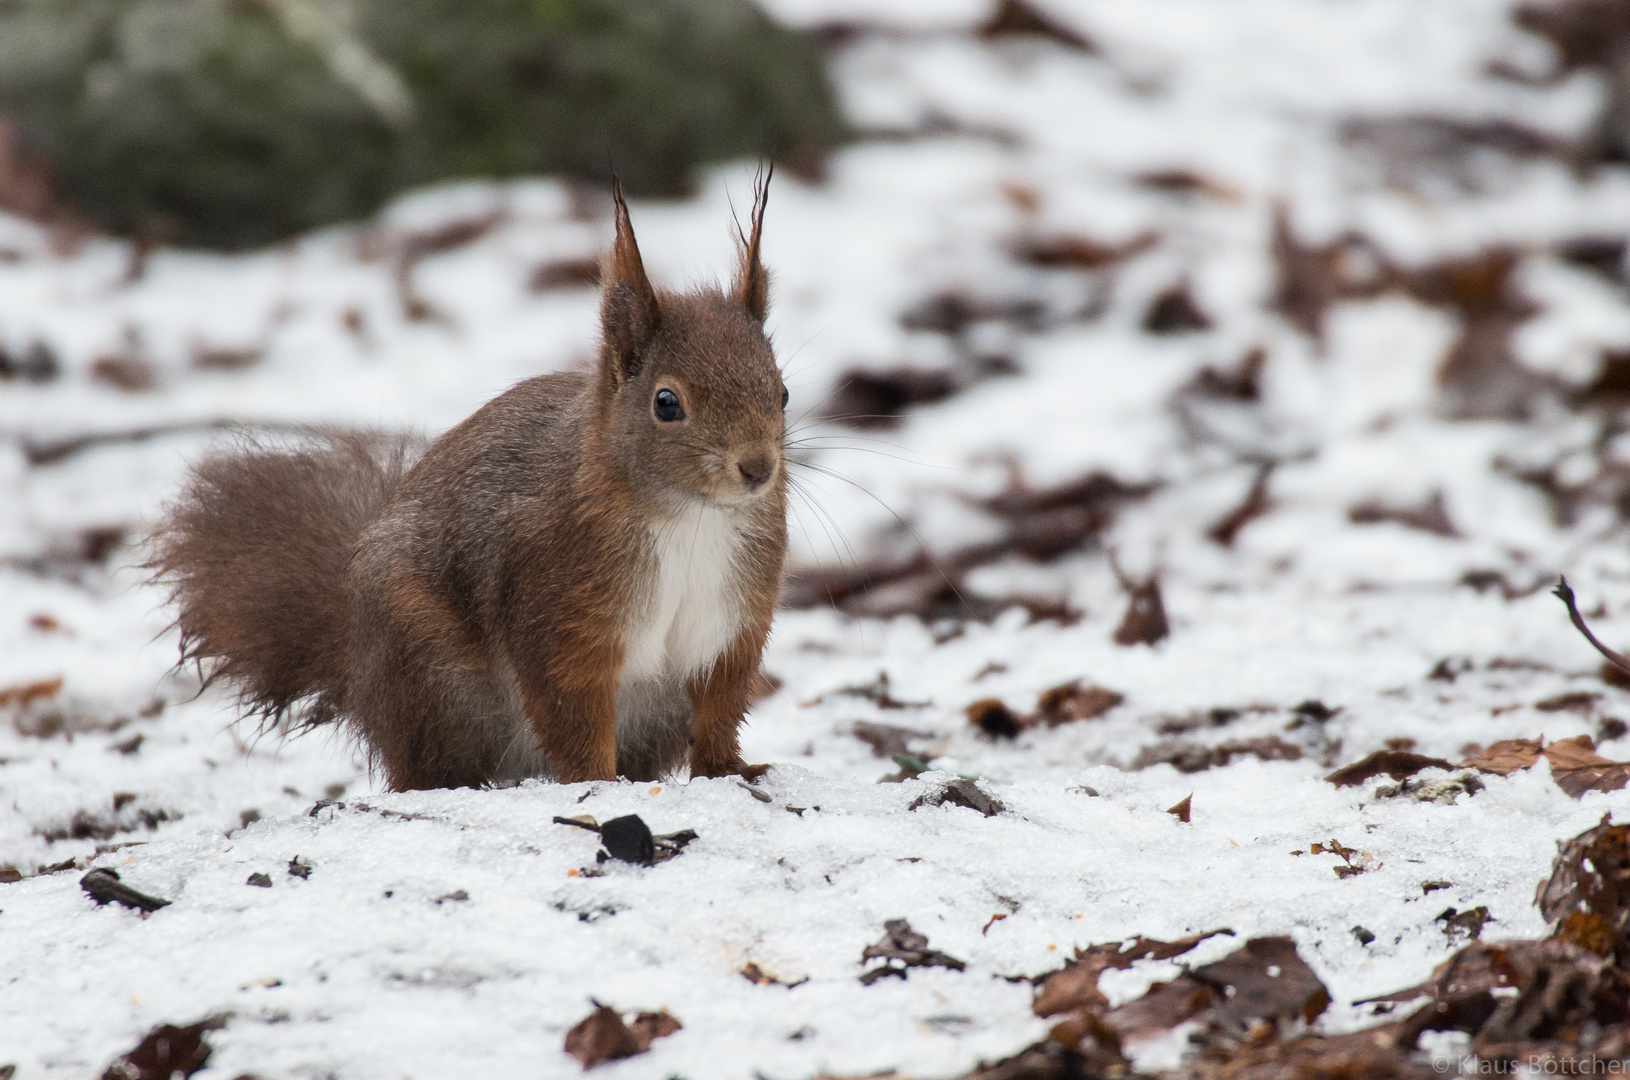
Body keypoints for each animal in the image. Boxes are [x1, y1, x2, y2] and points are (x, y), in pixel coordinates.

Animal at [149, 173, 785, 791]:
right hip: (435, 675)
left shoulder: (735, 623)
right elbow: (570, 709)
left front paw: (729, 769)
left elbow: (721, 705)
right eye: (666, 403)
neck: (691, 516)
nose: (758, 467)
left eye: (780, 391)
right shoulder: (559, 606)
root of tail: (363, 675)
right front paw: (594, 781)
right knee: (430, 765)